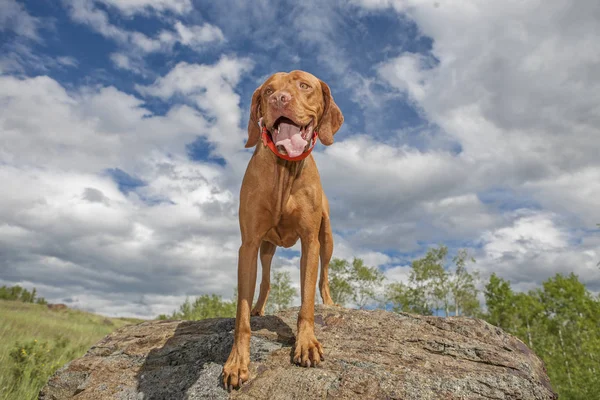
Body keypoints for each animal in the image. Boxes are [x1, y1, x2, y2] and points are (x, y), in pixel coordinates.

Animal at [221, 70, 344, 390]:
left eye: (304, 85)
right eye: (267, 91)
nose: (279, 99)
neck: (284, 173)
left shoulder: (310, 241)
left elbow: (307, 302)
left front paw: (306, 343)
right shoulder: (249, 244)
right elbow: (241, 317)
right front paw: (237, 362)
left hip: (327, 239)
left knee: (324, 275)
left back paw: (330, 303)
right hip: (266, 247)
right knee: (264, 281)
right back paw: (258, 307)